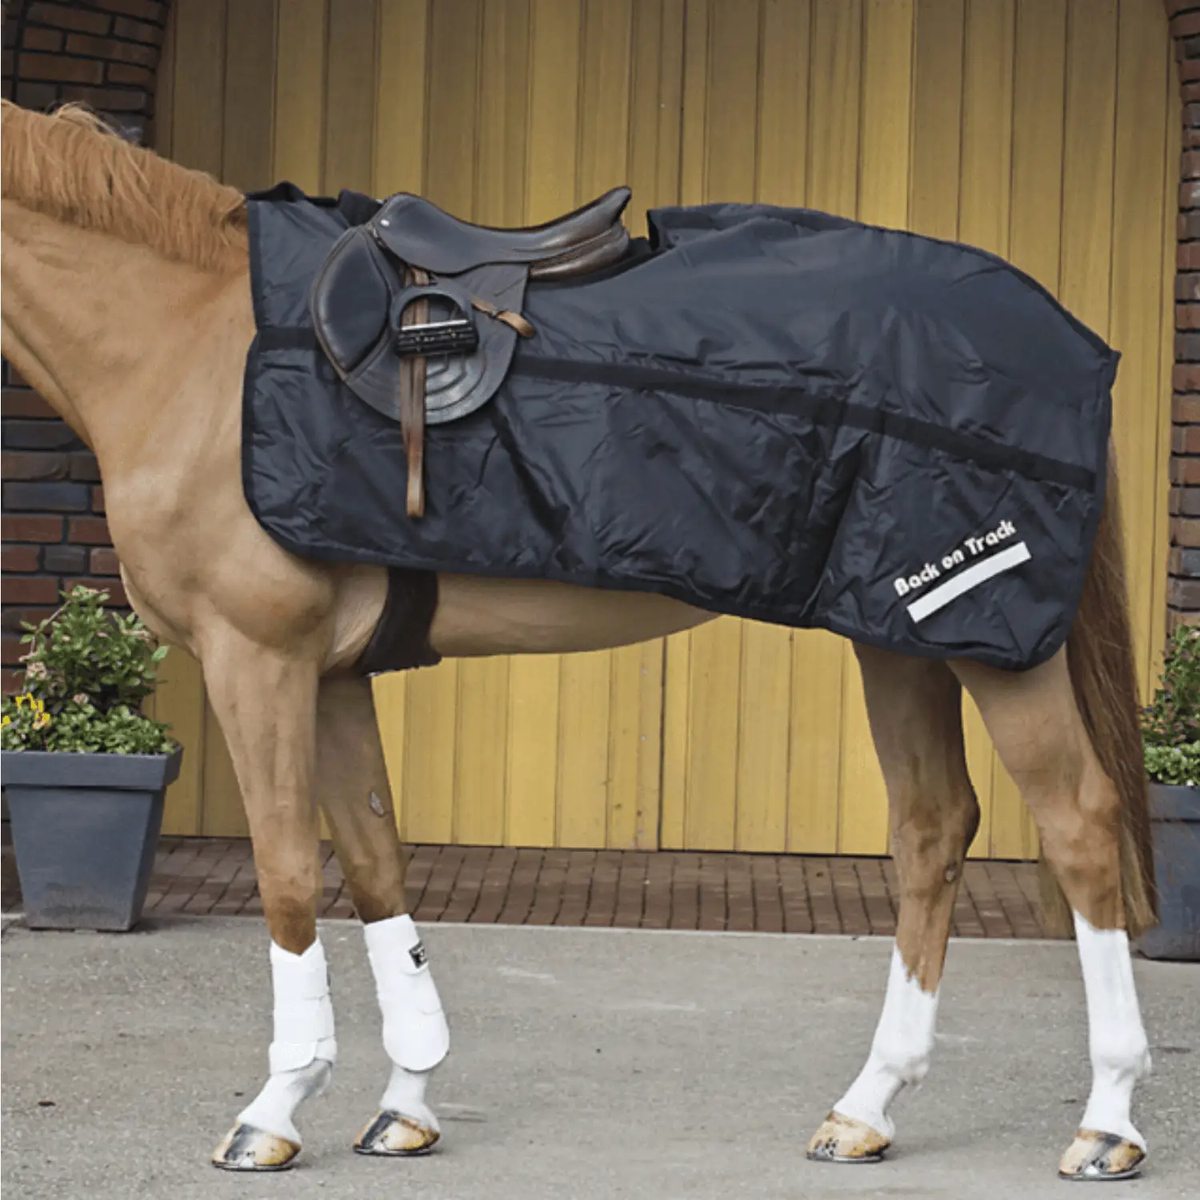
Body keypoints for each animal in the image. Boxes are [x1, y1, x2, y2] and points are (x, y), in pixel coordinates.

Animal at [0, 99, 1157, 1182]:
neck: (190, 341)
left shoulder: (259, 658)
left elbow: (286, 878)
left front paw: (273, 1113)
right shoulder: (330, 675)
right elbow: (375, 866)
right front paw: (406, 1102)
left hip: (991, 637)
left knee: (1079, 824)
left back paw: (1107, 1123)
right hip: (901, 633)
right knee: (931, 829)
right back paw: (865, 1109)